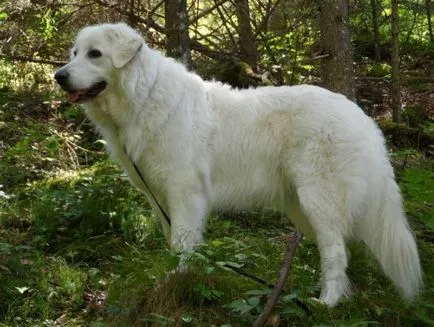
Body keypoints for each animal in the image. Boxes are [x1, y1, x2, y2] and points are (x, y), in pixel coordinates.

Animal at [53, 22, 420, 308]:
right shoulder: (159, 199)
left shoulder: (185, 192)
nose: (58, 76)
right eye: (74, 53)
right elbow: (174, 241)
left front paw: (177, 280)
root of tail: (363, 118)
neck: (142, 97)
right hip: (303, 205)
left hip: (320, 200)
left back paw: (327, 302)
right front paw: (176, 278)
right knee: (345, 246)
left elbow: (183, 243)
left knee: (336, 253)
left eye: (95, 54)